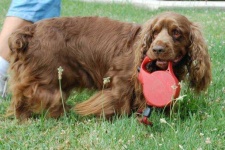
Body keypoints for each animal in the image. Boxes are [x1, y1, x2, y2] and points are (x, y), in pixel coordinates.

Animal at [7, 11, 211, 120]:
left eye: (177, 33)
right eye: (154, 32)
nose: (158, 49)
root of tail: (30, 31)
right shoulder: (121, 82)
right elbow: (118, 102)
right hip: (46, 79)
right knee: (27, 95)